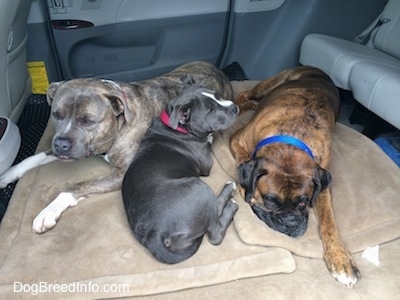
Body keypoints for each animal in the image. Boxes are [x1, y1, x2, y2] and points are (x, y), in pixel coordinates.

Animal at [0, 61, 231, 234]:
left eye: (87, 121)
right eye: (56, 114)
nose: (61, 144)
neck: (119, 121)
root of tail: (218, 70)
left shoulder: (120, 174)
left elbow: (76, 186)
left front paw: (49, 210)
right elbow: (36, 156)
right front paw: (9, 173)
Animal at [122, 84, 239, 262]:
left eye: (217, 95)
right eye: (211, 110)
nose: (234, 107)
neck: (176, 127)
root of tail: (154, 234)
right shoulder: (206, 165)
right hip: (199, 188)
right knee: (215, 232)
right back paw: (230, 200)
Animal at [230, 66, 360, 288]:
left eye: (303, 202)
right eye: (271, 200)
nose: (290, 223)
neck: (292, 139)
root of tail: (317, 69)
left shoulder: (322, 183)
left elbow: (329, 223)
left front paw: (341, 259)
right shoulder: (237, 140)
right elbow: (243, 159)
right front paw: (245, 189)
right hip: (268, 85)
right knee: (244, 94)